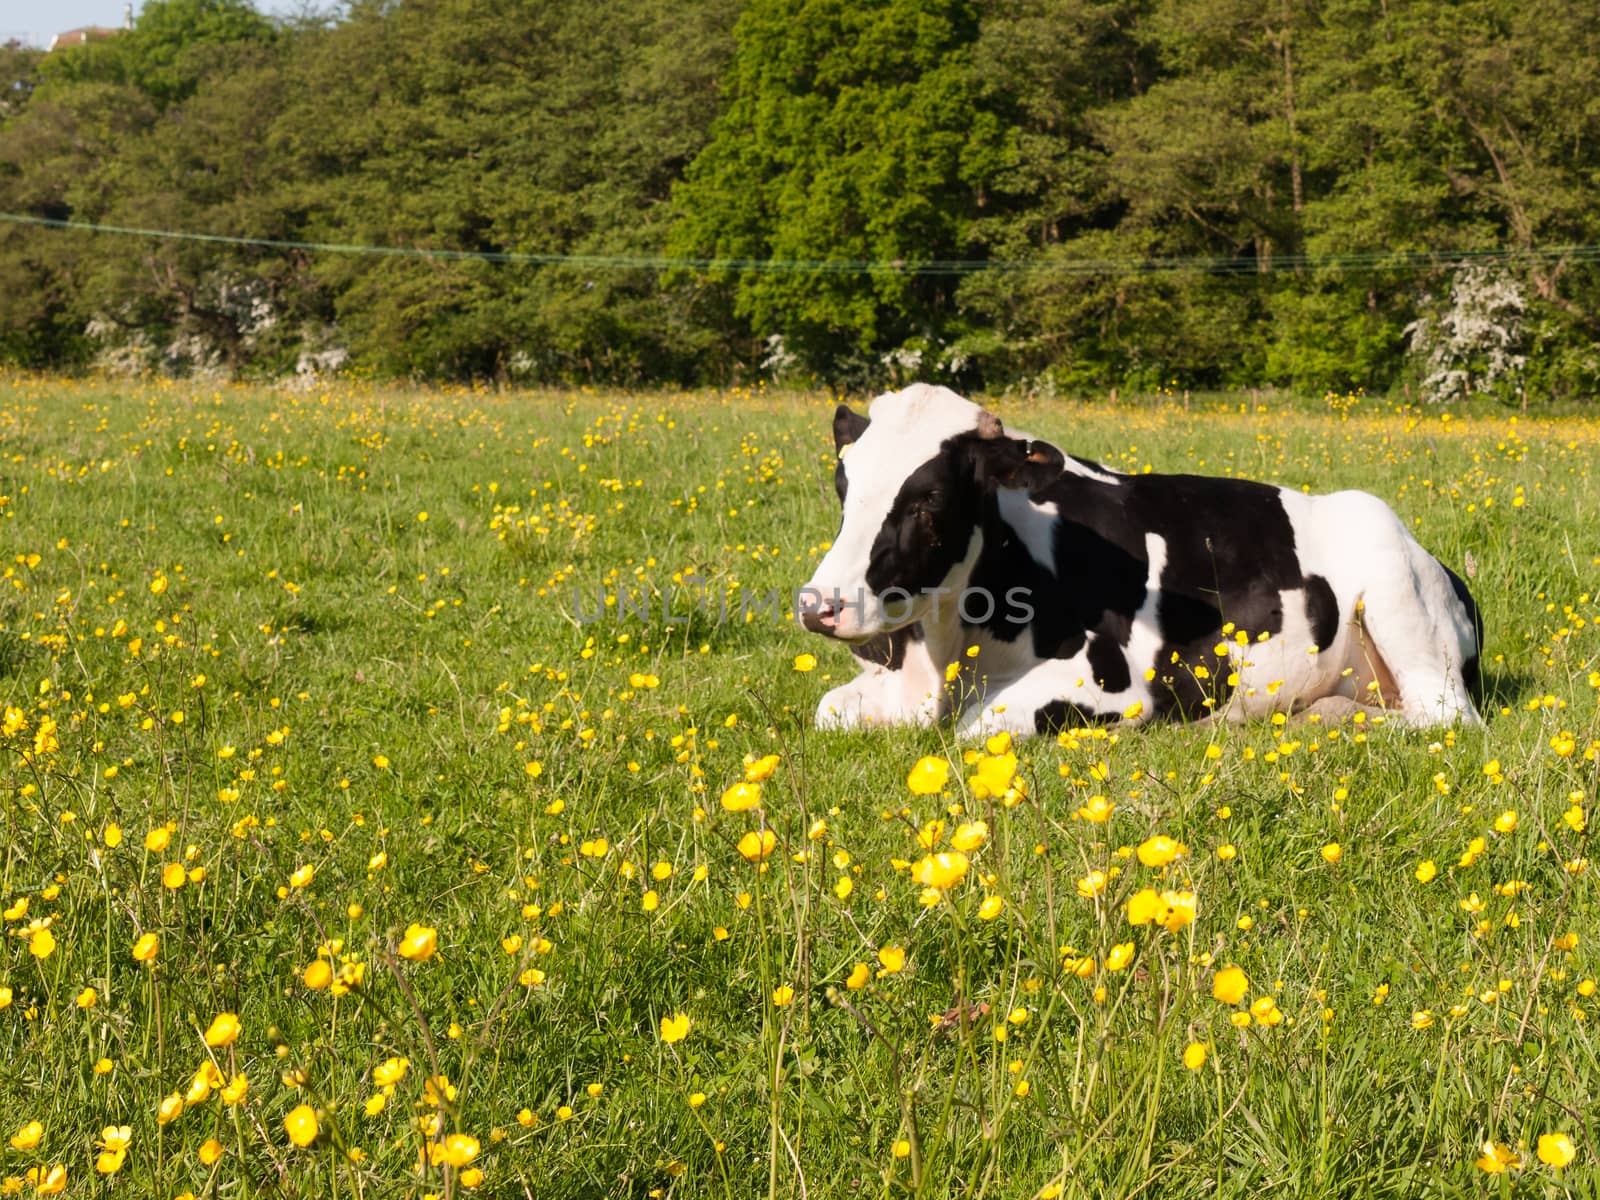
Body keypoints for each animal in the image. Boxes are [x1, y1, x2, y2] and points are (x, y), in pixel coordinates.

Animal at [800, 390, 1484, 739]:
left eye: (931, 498)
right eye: (842, 484)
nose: (818, 606)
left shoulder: (1116, 685)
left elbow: (976, 729)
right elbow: (828, 711)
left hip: (1400, 601)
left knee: (1444, 718)